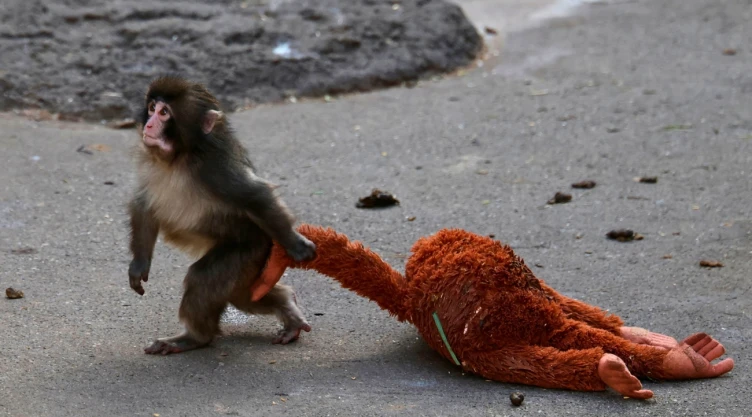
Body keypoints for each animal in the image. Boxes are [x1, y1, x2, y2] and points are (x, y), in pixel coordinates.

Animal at [127, 76, 316, 355]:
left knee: (205, 279)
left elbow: (255, 195)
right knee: (244, 295)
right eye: (151, 108)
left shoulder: (216, 169)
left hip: (250, 250)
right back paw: (287, 305)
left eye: (164, 113)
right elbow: (143, 205)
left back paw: (194, 337)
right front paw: (139, 264)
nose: (149, 124)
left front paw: (296, 244)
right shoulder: (149, 162)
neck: (179, 157)